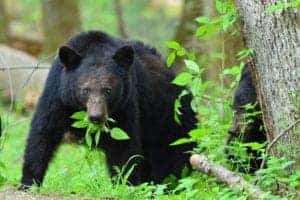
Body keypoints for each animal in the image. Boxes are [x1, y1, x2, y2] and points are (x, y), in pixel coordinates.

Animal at [19, 30, 196, 188]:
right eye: (85, 89)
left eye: (108, 90)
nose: (96, 117)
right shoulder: (58, 95)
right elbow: (43, 132)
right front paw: (28, 181)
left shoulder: (125, 104)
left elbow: (123, 145)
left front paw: (125, 185)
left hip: (170, 120)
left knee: (171, 159)